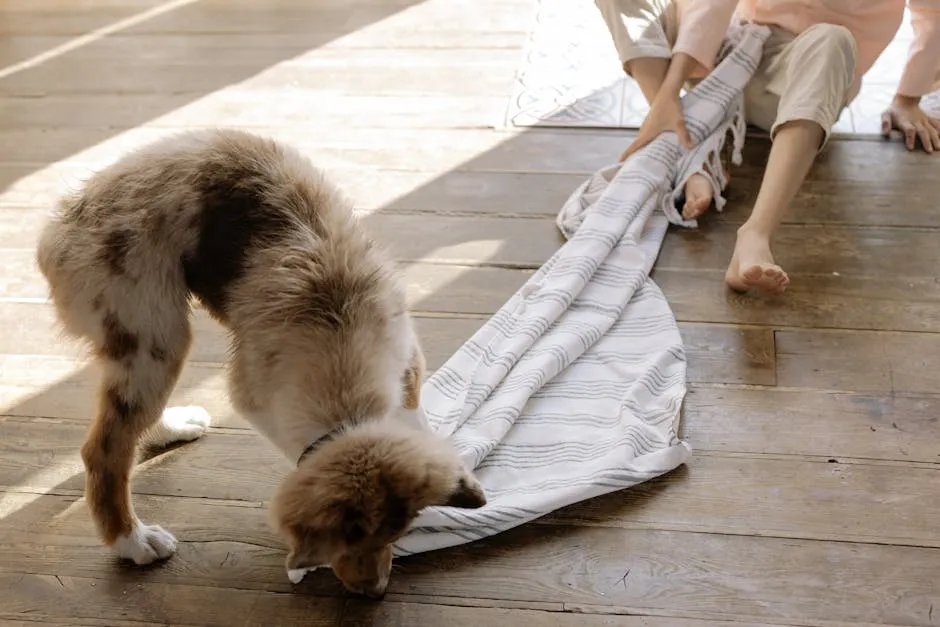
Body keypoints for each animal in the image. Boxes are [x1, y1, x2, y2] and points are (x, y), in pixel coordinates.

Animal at [35, 127, 484, 600]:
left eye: (397, 535)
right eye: (348, 543)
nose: (374, 592)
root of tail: (58, 226)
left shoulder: (408, 363)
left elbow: (415, 423)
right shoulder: (255, 395)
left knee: (129, 424)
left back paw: (171, 428)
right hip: (152, 332)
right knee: (106, 449)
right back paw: (134, 541)